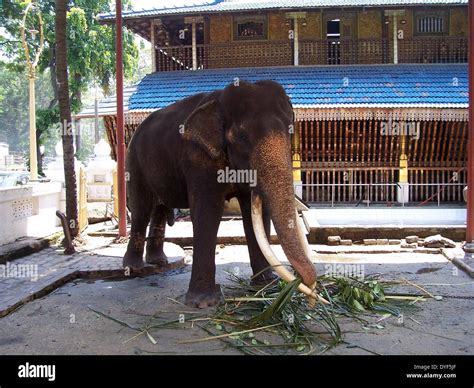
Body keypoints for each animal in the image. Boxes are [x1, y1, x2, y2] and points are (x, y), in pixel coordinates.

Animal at [124, 80, 320, 308]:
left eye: (290, 133)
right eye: (242, 137)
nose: (311, 295)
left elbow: (254, 215)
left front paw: (264, 287)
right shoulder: (198, 157)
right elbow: (207, 212)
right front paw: (203, 302)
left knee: (160, 209)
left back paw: (158, 262)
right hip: (133, 160)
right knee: (141, 210)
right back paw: (134, 269)